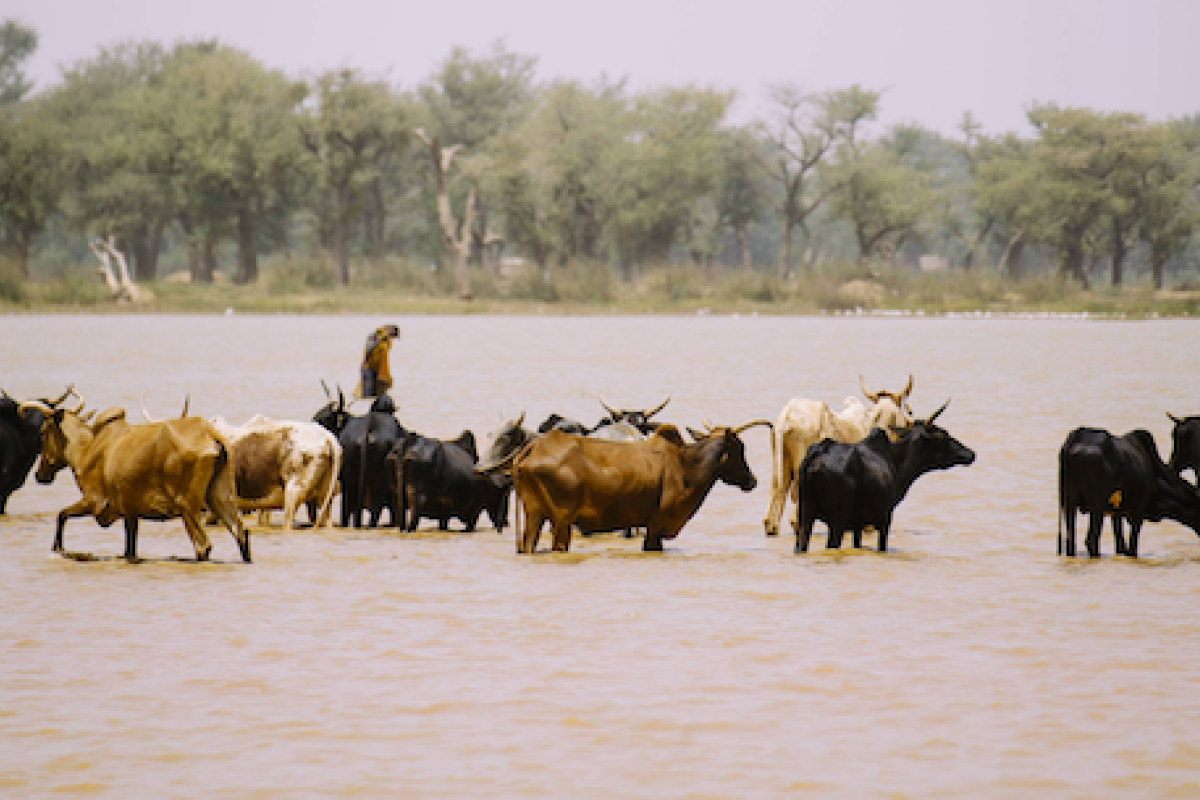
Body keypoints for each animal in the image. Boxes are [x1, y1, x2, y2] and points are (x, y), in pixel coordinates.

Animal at [23, 396, 250, 562]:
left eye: (42, 432)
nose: (40, 475)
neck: (88, 449)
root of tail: (209, 434)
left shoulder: (94, 501)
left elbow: (61, 515)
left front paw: (58, 549)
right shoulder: (130, 514)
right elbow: (129, 550)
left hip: (188, 507)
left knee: (203, 546)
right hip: (221, 498)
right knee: (241, 534)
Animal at [313, 386, 403, 528]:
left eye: (325, 417)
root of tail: (367, 428)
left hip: (350, 480)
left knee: (348, 510)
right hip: (379, 482)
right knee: (375, 509)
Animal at [510, 419, 771, 554]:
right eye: (739, 448)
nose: (752, 480)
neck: (686, 464)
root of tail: (532, 449)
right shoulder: (656, 524)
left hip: (535, 514)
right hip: (561, 521)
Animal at [794, 400, 975, 554]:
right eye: (942, 435)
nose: (970, 453)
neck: (902, 469)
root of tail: (815, 456)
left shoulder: (858, 523)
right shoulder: (885, 517)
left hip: (805, 515)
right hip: (837, 519)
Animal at [1058, 427, 1200, 558]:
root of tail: (1073, 444)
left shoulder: (1116, 512)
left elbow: (1120, 544)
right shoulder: (1138, 510)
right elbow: (1132, 546)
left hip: (1068, 503)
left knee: (1070, 540)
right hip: (1097, 506)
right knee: (1091, 540)